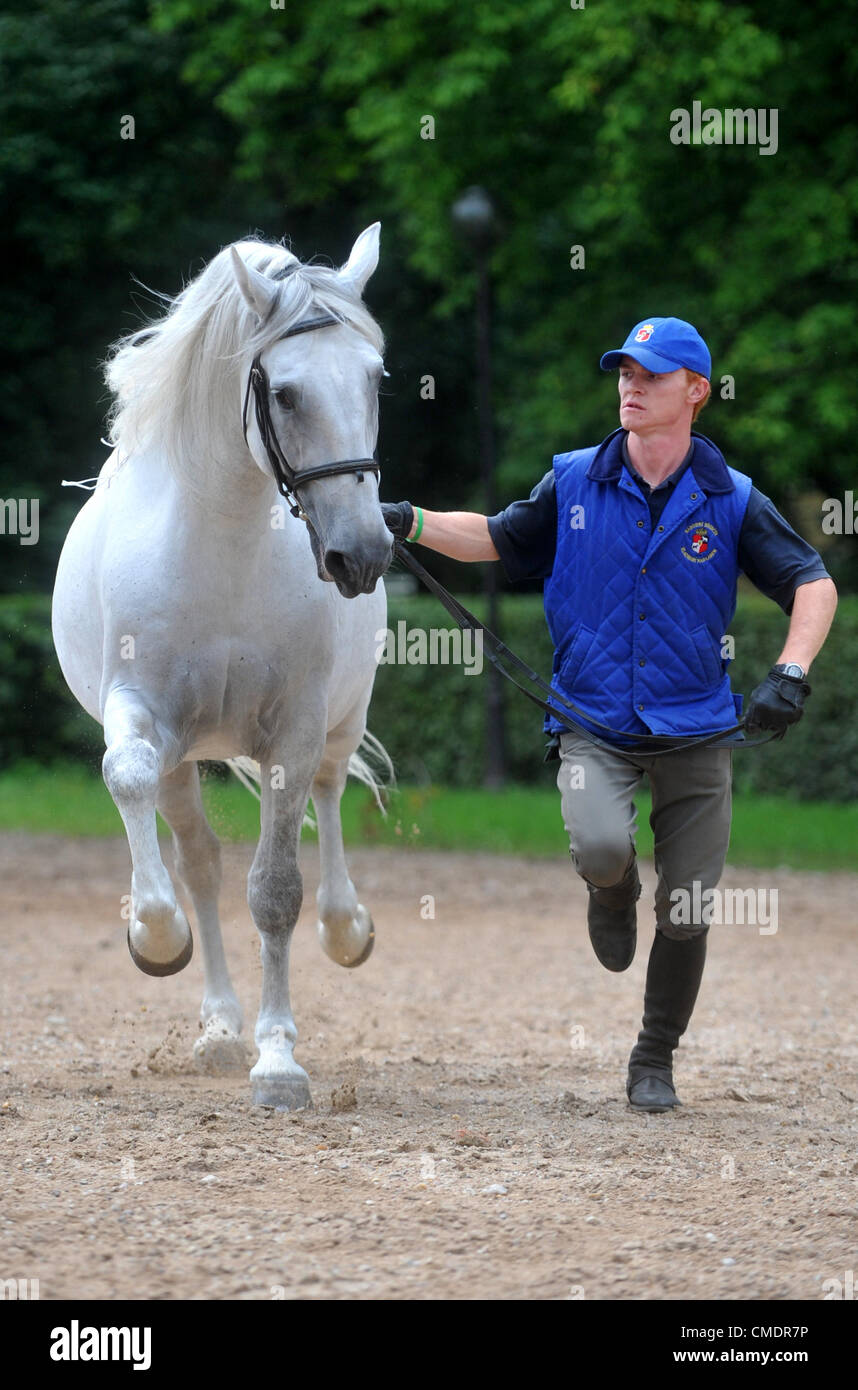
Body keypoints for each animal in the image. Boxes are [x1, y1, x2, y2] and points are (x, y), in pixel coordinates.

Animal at [50, 219, 392, 1106]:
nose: (362, 553)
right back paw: (219, 1026)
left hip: (342, 719)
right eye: (286, 394)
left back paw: (345, 929)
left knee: (329, 797)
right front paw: (153, 933)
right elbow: (130, 781)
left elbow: (275, 891)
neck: (225, 540)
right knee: (198, 861)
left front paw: (278, 1062)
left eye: (375, 380)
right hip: (186, 757)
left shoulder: (294, 730)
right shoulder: (143, 715)